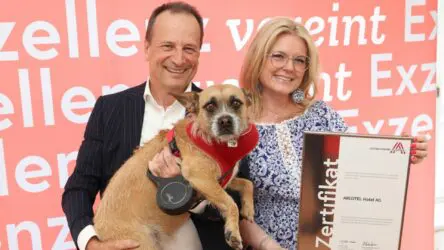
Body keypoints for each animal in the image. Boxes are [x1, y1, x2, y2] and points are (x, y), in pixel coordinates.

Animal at [93, 84, 258, 250]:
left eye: (236, 103)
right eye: (210, 106)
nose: (225, 121)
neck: (213, 142)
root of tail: (99, 229)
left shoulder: (222, 179)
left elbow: (247, 184)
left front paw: (248, 208)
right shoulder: (200, 177)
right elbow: (230, 203)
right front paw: (233, 233)